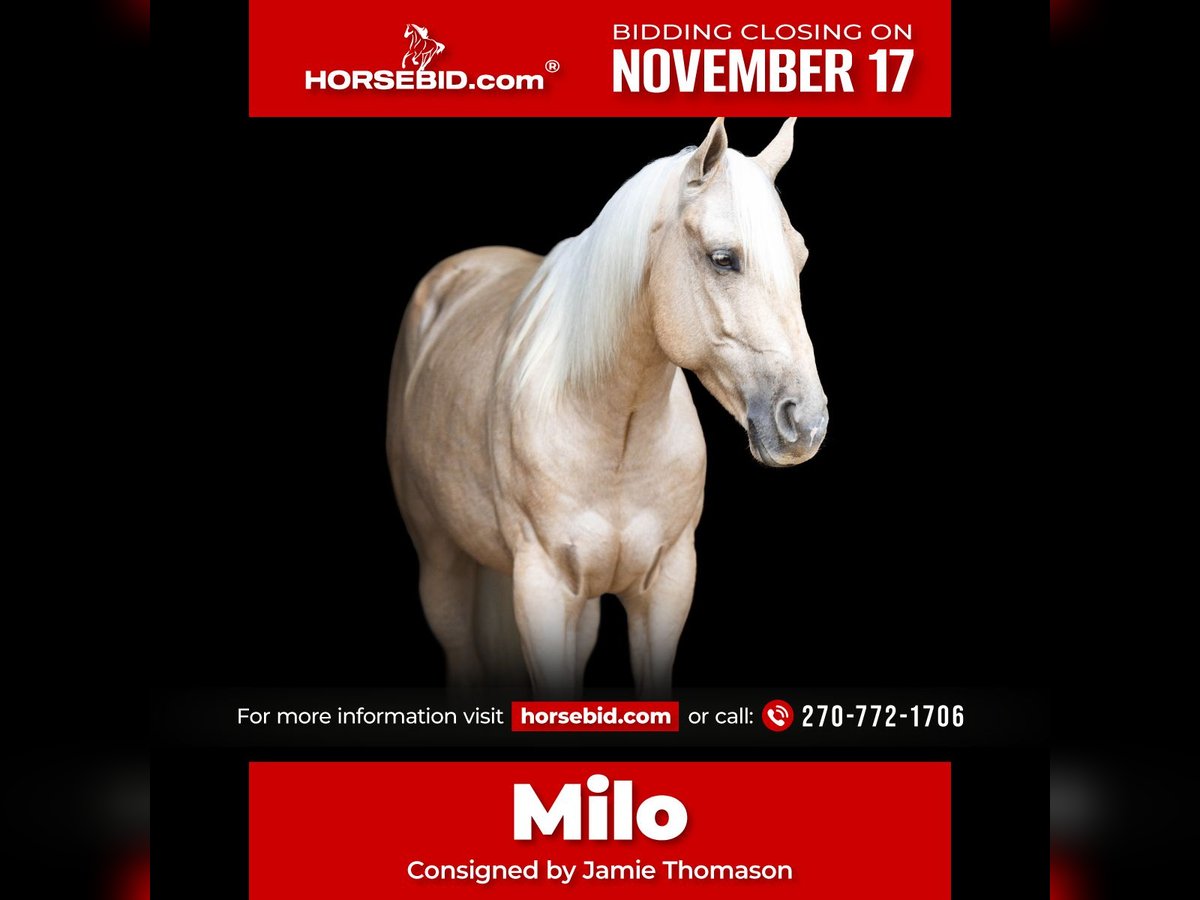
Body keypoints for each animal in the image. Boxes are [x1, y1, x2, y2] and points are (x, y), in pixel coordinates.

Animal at [387, 119, 828, 698]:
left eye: (799, 258)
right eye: (723, 258)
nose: (805, 422)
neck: (615, 433)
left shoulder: (664, 588)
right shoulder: (544, 590)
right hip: (441, 561)